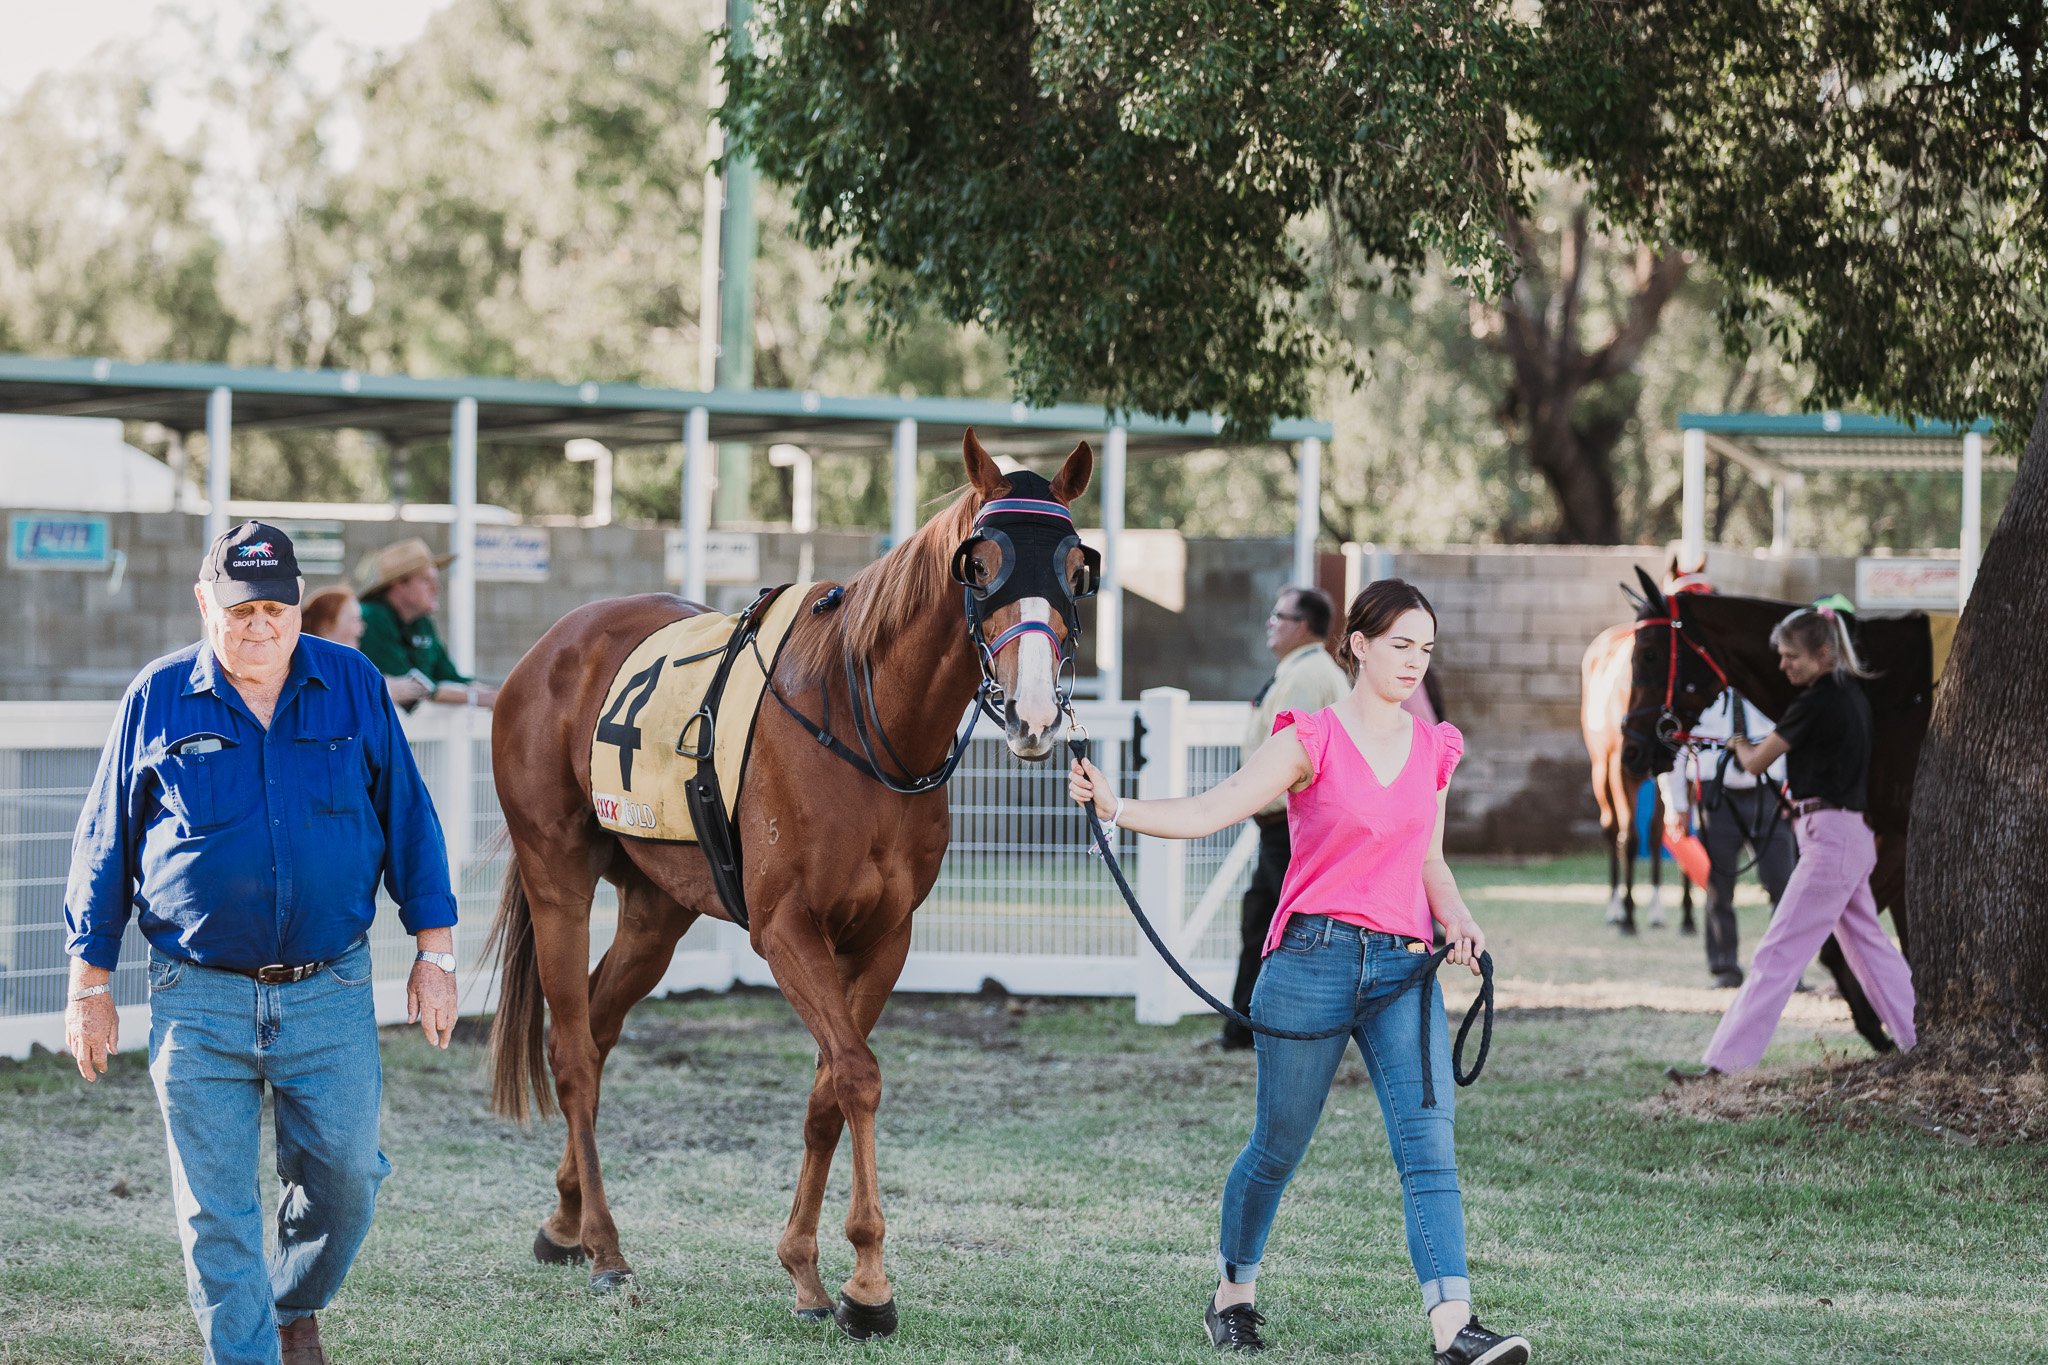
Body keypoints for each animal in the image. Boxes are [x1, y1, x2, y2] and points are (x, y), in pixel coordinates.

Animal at [481, 431, 1097, 1326]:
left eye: (1076, 568)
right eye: (980, 563)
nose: (1036, 712)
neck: (861, 719)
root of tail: (554, 644)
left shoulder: (883, 938)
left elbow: (827, 1091)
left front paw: (807, 1268)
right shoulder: (786, 930)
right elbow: (858, 1075)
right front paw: (868, 1282)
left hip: (656, 910)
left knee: (597, 1025)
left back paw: (565, 1217)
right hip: (556, 873)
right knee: (570, 1050)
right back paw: (604, 1244)